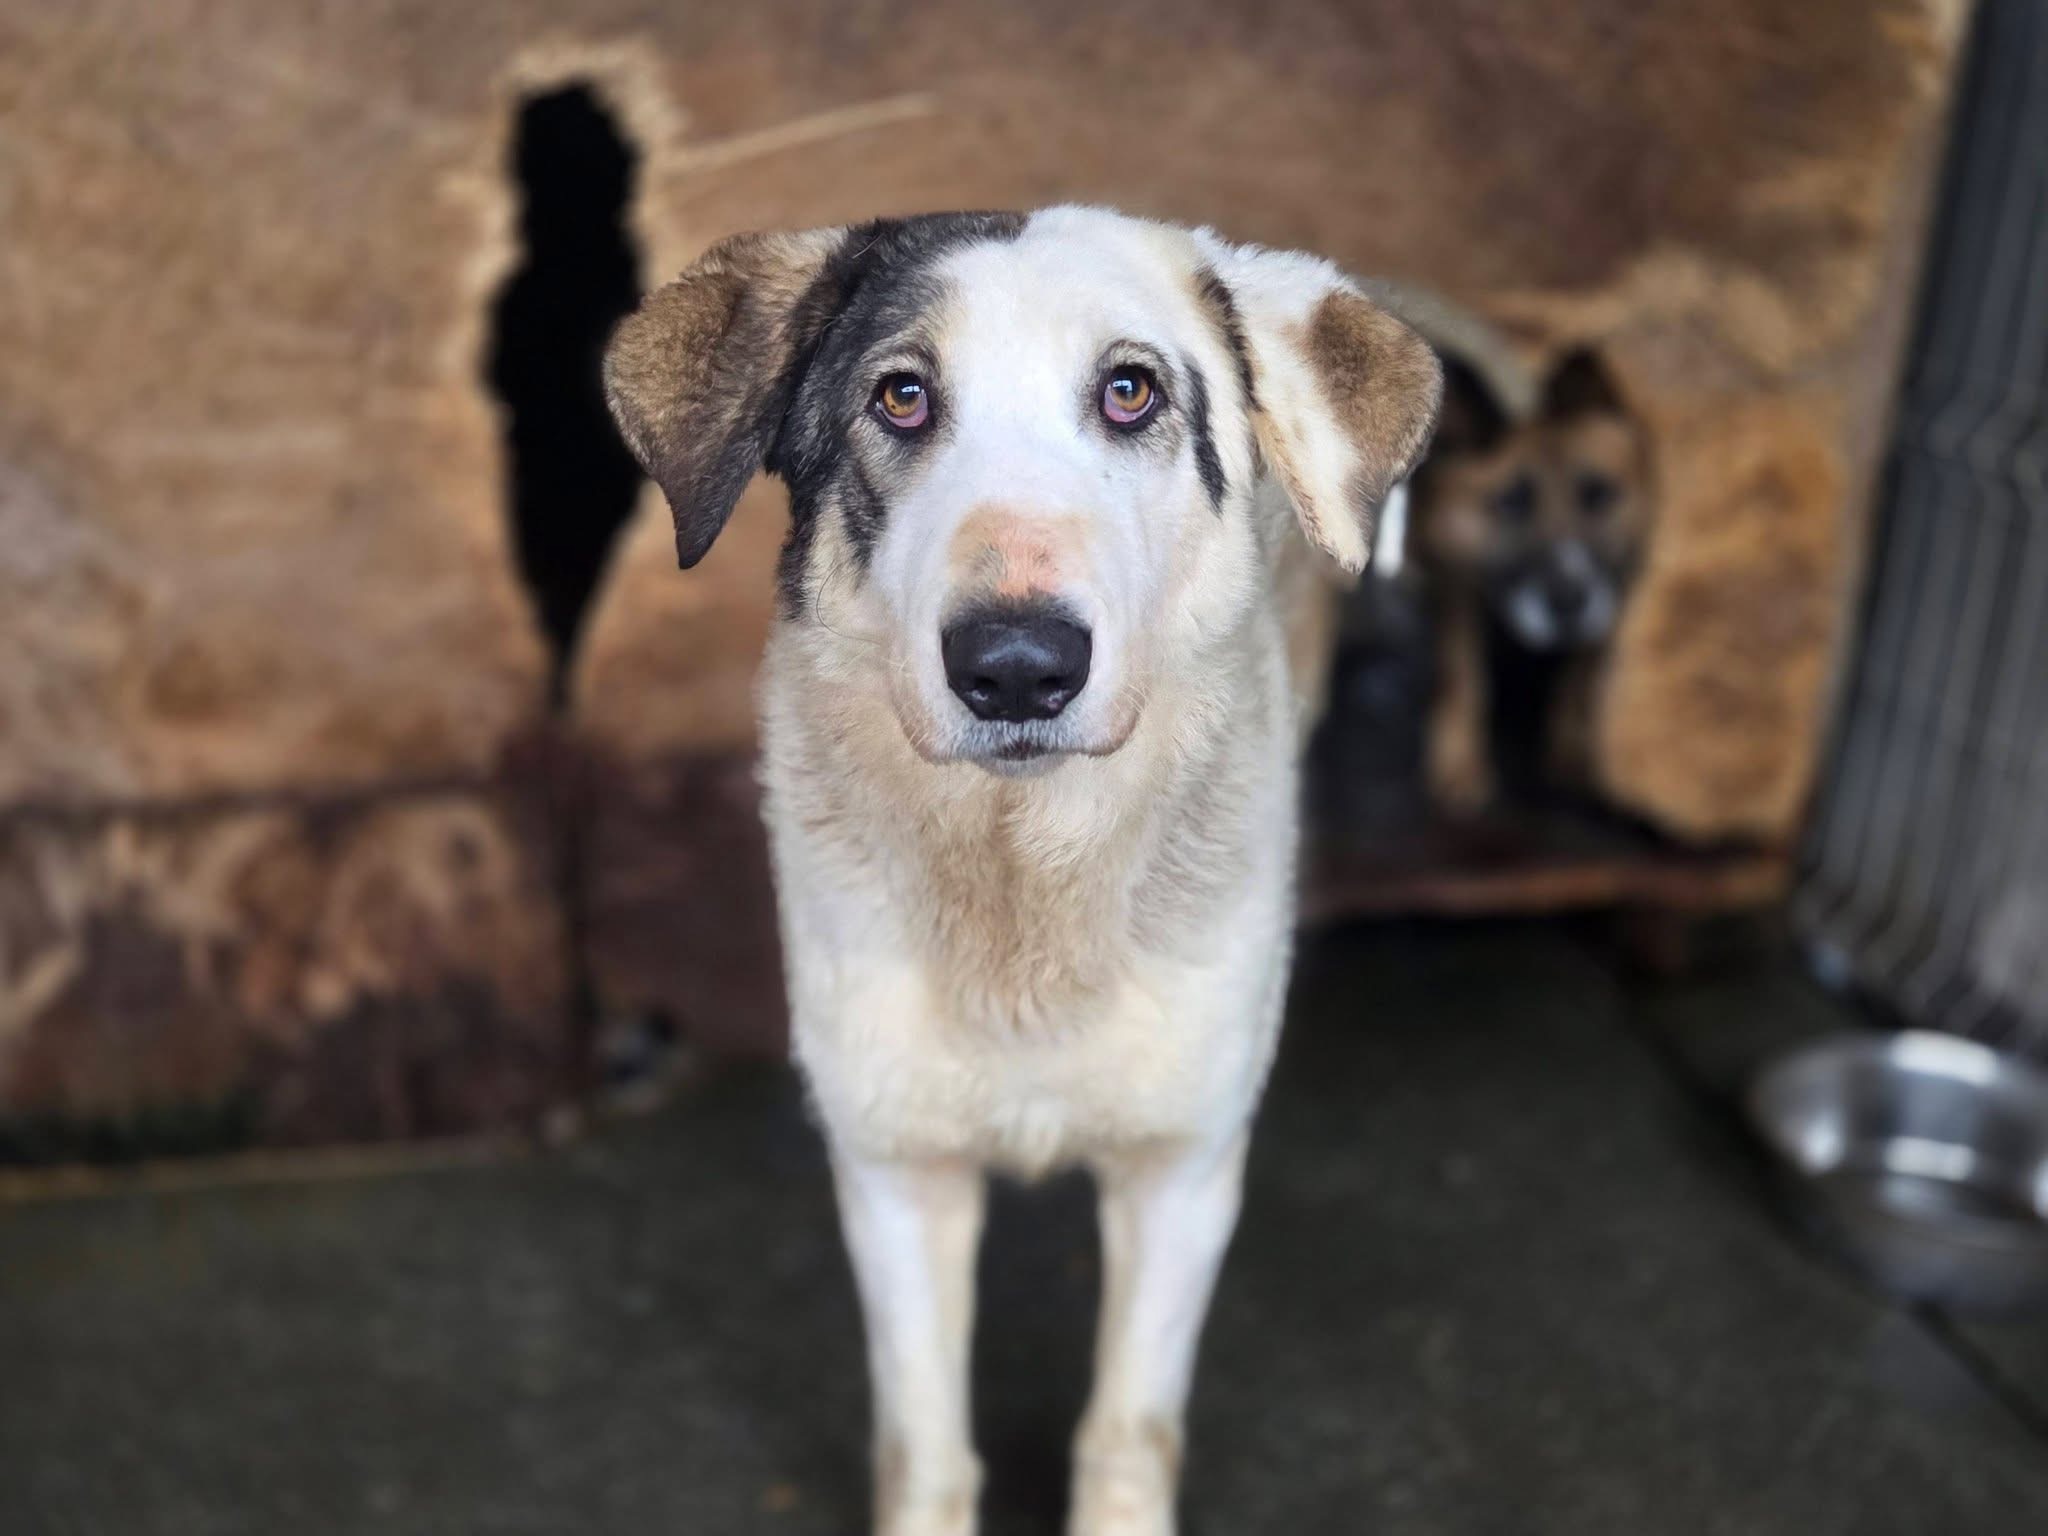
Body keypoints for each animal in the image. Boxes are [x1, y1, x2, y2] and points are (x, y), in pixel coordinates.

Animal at [604, 207, 1441, 1536]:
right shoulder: (896, 1174)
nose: (1012, 666)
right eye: (898, 396)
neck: (1023, 885)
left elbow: (1123, 1434)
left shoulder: (1179, 1172)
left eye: (1129, 391)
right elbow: (927, 1451)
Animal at [1409, 350, 1652, 814]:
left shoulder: (1611, 595)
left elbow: (1577, 679)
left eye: (1598, 494)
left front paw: (1570, 753)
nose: (1569, 604)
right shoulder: (1454, 586)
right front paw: (1459, 769)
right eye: (1511, 502)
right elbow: (1462, 678)